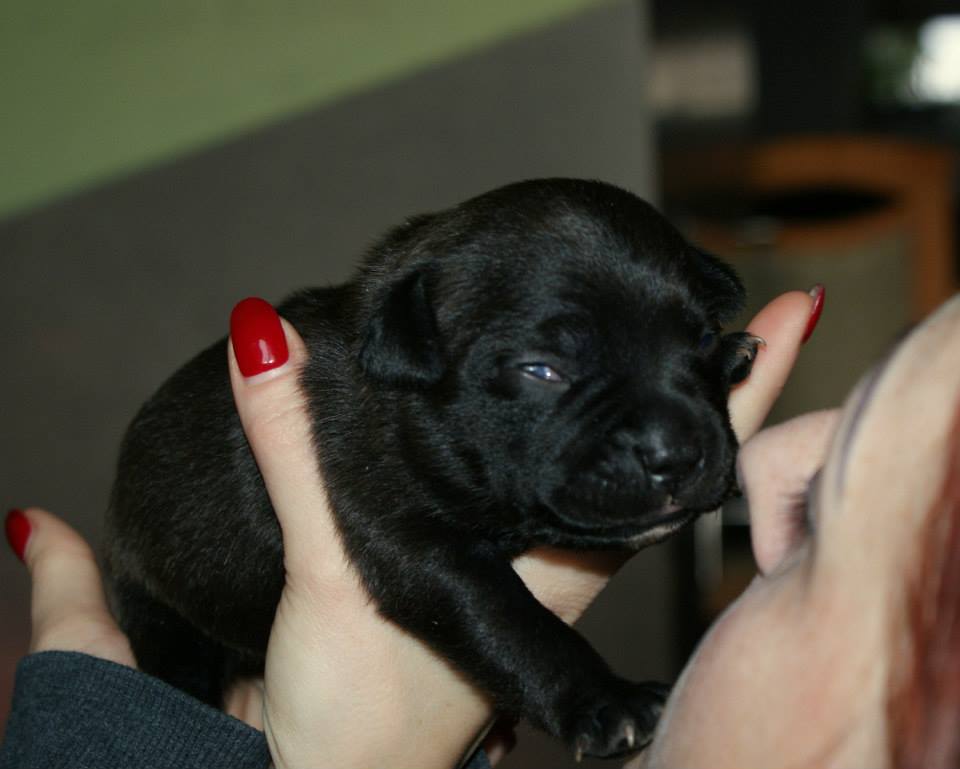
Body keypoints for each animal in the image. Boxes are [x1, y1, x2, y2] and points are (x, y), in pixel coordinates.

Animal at [104, 178, 760, 758]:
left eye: (702, 340)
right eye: (542, 370)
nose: (674, 453)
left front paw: (736, 353)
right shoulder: (416, 543)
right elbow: (512, 622)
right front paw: (606, 700)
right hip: (162, 620)